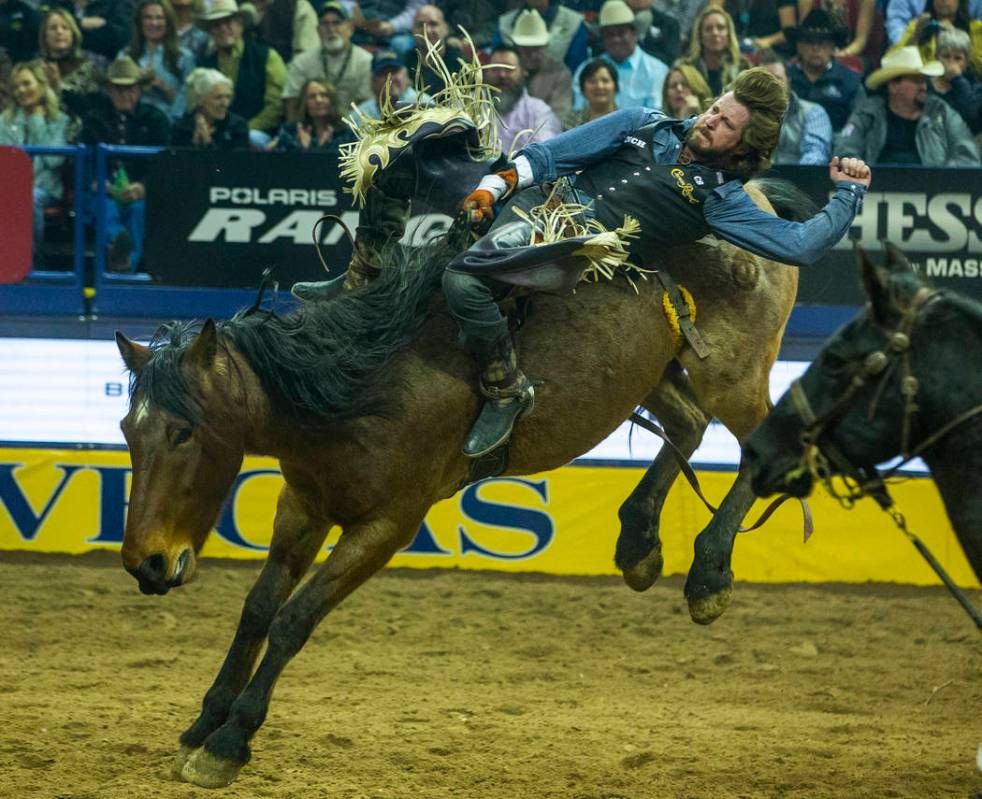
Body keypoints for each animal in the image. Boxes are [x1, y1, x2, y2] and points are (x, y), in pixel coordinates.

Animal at [115, 180, 804, 788]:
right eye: (126, 427)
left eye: (183, 432)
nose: (146, 563)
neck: (358, 383)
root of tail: (758, 197)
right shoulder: (304, 504)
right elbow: (258, 609)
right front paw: (201, 726)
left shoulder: (389, 524)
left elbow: (293, 619)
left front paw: (230, 742)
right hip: (654, 372)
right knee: (687, 424)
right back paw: (638, 543)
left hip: (733, 373)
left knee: (762, 450)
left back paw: (708, 574)